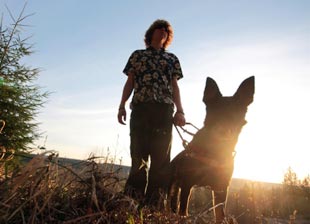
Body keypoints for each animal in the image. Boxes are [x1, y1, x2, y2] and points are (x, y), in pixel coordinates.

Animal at [170, 76, 254, 223]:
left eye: (237, 113)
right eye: (214, 112)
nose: (224, 130)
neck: (215, 150)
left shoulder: (221, 188)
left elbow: (220, 214)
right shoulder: (187, 183)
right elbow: (184, 210)